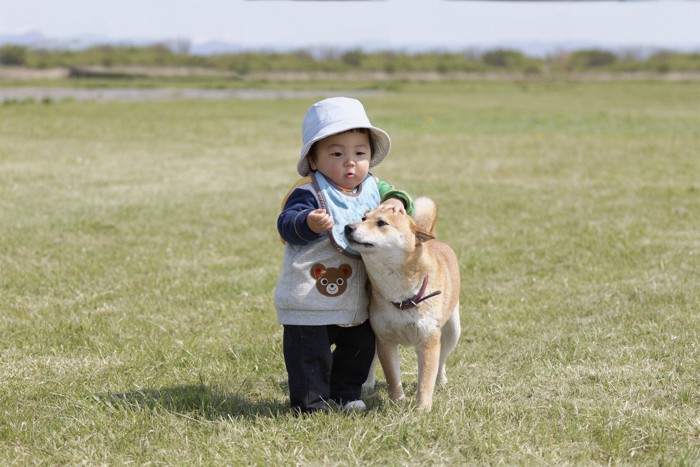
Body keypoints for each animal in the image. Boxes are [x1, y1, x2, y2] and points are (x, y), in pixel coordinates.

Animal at [344, 197, 460, 414]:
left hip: (453, 330)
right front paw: (397, 402)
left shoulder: (428, 340)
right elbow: (392, 377)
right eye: (363, 218)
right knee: (371, 361)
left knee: (441, 360)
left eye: (381, 223)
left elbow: (425, 380)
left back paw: (441, 380)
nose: (348, 227)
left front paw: (422, 409)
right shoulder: (385, 339)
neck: (401, 296)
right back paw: (367, 384)